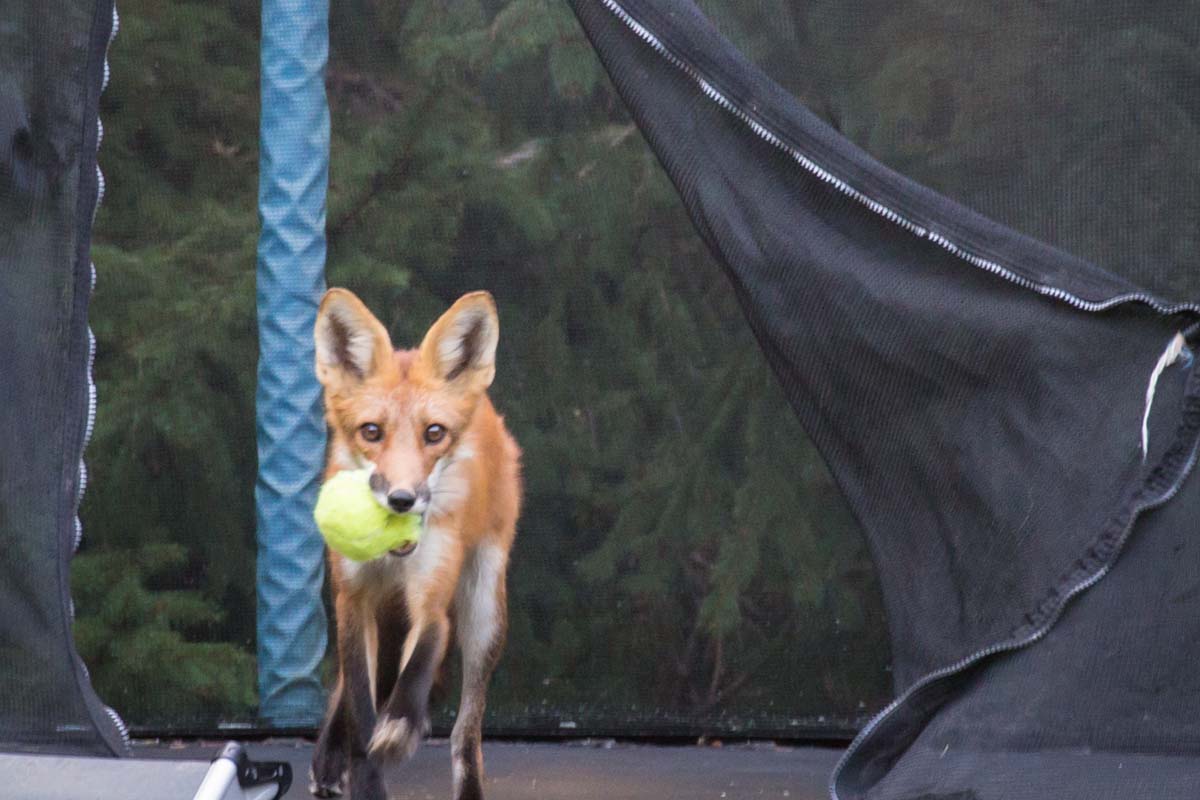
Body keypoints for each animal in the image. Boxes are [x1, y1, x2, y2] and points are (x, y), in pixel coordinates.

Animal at [308, 288, 522, 800]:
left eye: (434, 433)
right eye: (371, 432)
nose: (402, 500)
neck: (392, 561)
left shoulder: (433, 601)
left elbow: (420, 660)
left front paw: (401, 725)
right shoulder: (352, 598)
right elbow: (359, 706)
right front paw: (364, 777)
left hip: (485, 613)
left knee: (466, 732)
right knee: (344, 687)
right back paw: (329, 755)